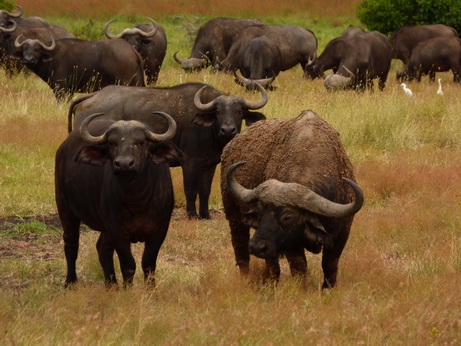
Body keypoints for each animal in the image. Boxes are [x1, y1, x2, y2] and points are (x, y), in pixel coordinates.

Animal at [10, 36, 145, 101]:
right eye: (24, 48)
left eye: (37, 49)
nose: (28, 59)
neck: (52, 56)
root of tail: (130, 49)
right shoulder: (70, 91)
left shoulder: (60, 89)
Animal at [56, 111, 180, 286]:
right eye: (112, 143)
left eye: (140, 142)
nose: (124, 164)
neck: (137, 200)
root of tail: (63, 148)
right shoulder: (116, 230)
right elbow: (128, 265)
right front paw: (127, 288)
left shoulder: (160, 229)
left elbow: (148, 264)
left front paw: (150, 289)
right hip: (65, 207)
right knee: (71, 243)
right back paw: (70, 282)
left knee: (103, 249)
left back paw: (111, 284)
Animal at [67, 82, 268, 219]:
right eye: (218, 111)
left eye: (238, 111)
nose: (228, 129)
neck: (211, 131)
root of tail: (93, 96)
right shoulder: (190, 162)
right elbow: (190, 189)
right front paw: (192, 214)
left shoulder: (209, 164)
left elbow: (204, 190)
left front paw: (205, 215)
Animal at [219, 109, 362, 288]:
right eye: (260, 213)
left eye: (288, 217)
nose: (256, 246)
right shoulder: (290, 243)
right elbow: (299, 267)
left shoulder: (341, 233)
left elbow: (330, 265)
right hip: (234, 216)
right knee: (243, 250)